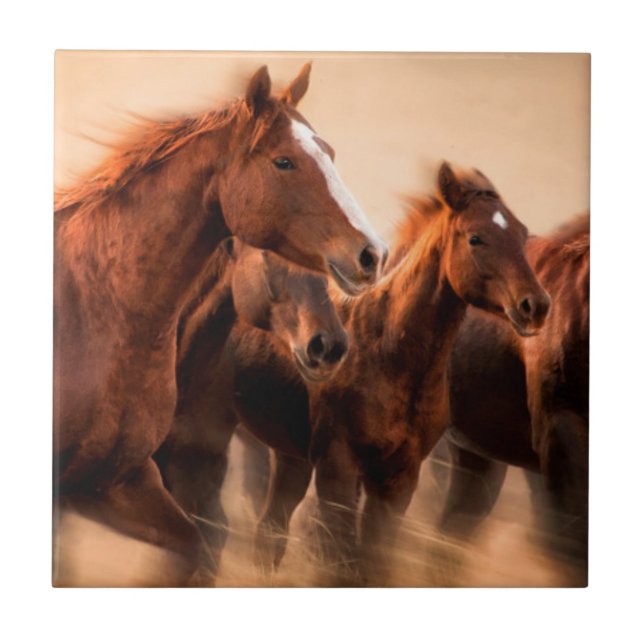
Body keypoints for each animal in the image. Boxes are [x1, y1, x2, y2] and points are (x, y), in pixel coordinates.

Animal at [209, 163, 551, 584]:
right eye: (476, 238)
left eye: (521, 233)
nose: (535, 306)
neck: (391, 358)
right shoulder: (339, 469)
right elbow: (339, 561)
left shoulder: (397, 479)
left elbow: (373, 562)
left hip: (290, 456)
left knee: (269, 532)